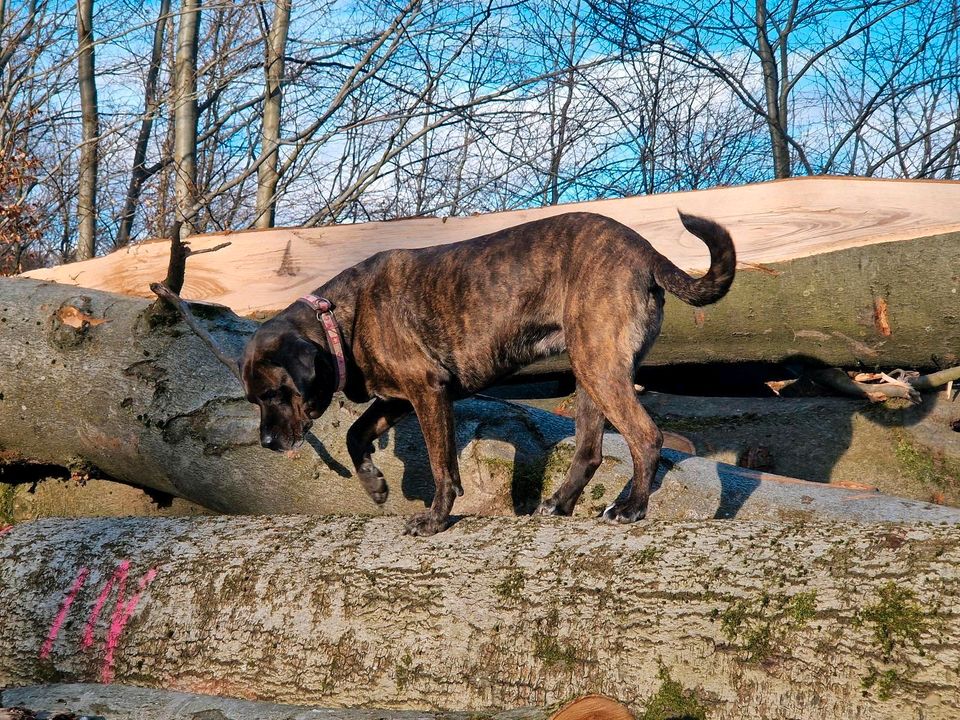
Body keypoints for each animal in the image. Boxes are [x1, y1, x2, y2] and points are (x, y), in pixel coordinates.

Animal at [240, 210, 736, 536]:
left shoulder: (428, 391)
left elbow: (442, 466)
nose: (265, 443)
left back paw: (630, 508)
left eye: (274, 395)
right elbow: (354, 433)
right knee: (589, 452)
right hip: (590, 370)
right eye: (254, 399)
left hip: (599, 366)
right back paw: (559, 504)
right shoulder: (399, 397)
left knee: (646, 435)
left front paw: (435, 520)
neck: (339, 317)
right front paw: (374, 485)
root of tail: (644, 249)